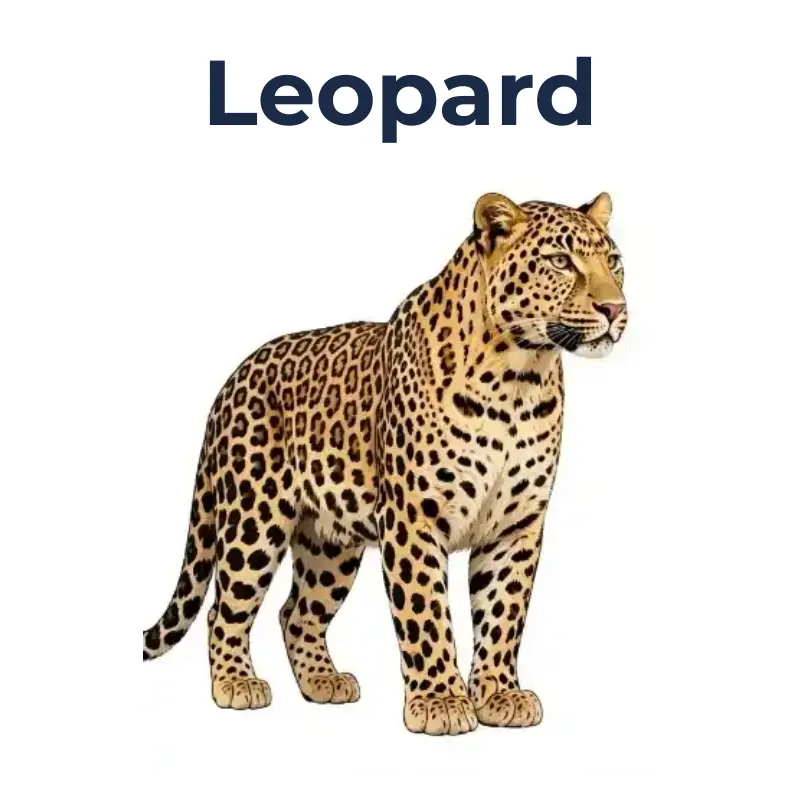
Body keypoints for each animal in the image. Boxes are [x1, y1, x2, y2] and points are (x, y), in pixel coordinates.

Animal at [143, 190, 628, 735]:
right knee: (224, 608)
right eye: (560, 262)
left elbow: (503, 612)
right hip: (253, 519)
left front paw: (499, 693)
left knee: (296, 613)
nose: (615, 308)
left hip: (329, 543)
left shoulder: (516, 525)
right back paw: (237, 683)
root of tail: (231, 380)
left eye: (614, 261)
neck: (520, 379)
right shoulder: (413, 517)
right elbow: (427, 614)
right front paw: (440, 702)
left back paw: (323, 682)